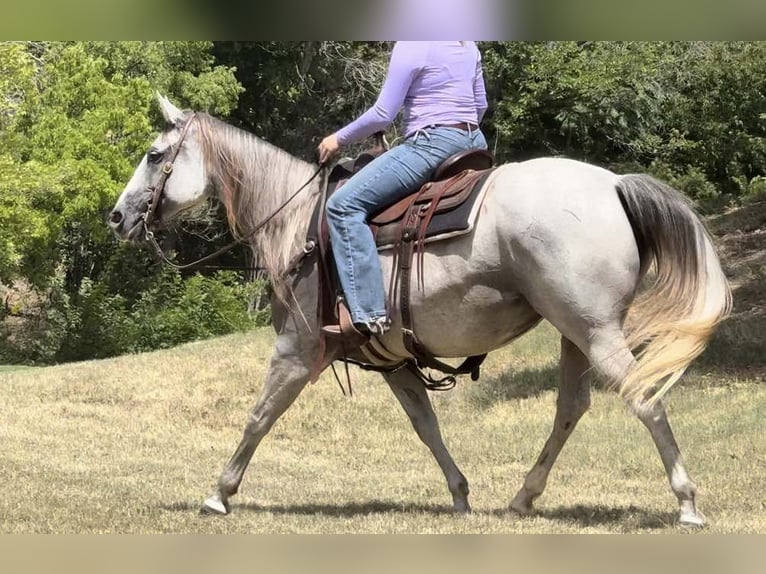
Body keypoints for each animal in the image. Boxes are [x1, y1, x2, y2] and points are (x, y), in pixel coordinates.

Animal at [108, 94, 731, 527]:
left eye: (154, 155)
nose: (116, 217)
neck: (298, 226)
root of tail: (614, 184)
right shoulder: (392, 360)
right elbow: (425, 425)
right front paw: (459, 495)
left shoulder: (298, 350)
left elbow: (260, 416)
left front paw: (219, 493)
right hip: (575, 332)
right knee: (571, 407)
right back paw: (523, 496)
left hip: (594, 329)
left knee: (642, 397)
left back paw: (687, 504)